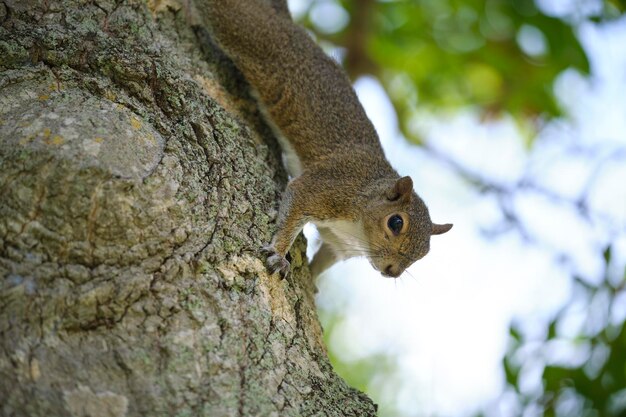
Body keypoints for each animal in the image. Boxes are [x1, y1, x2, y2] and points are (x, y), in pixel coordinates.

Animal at [202, 0, 450, 280]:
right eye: (396, 222)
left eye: (425, 253)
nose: (392, 272)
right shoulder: (328, 188)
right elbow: (296, 204)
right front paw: (279, 253)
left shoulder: (337, 243)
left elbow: (321, 262)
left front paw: (311, 280)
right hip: (243, 29)